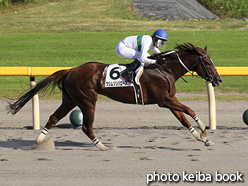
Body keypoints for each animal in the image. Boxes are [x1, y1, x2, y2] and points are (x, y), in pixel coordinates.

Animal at [6, 43, 223, 150]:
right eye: (208, 63)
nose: (218, 80)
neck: (165, 69)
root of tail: (71, 70)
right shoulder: (164, 100)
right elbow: (190, 110)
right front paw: (204, 132)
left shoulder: (168, 101)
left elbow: (184, 119)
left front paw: (202, 138)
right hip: (87, 100)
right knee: (86, 126)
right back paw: (102, 147)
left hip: (70, 100)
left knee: (53, 118)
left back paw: (38, 142)